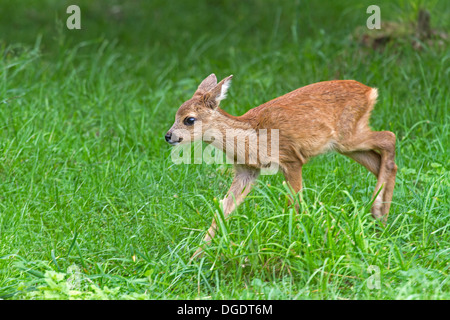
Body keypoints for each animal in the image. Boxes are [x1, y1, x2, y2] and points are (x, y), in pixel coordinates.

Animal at [165, 73, 398, 258]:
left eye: (189, 119)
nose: (168, 136)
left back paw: (377, 212)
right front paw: (196, 256)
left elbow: (294, 203)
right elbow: (223, 209)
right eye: (176, 114)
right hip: (346, 143)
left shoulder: (291, 158)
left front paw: (294, 243)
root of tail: (370, 91)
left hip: (348, 134)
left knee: (389, 137)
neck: (251, 137)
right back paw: (381, 219)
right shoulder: (247, 171)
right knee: (381, 161)